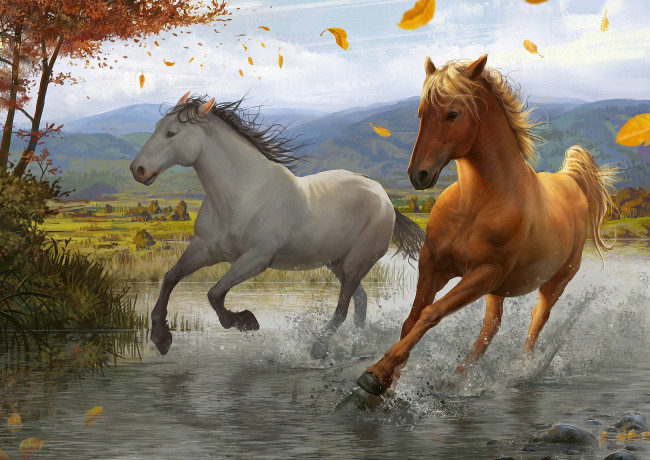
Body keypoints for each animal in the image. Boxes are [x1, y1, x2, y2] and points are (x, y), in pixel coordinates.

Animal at [130, 92, 425, 357]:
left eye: (172, 133)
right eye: (156, 128)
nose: (138, 170)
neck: (242, 193)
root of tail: (383, 196)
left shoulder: (257, 258)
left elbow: (214, 293)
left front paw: (245, 320)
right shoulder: (205, 249)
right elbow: (170, 278)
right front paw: (161, 338)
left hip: (357, 262)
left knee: (343, 308)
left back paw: (320, 348)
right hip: (337, 262)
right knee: (360, 302)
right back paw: (355, 349)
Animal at [356, 54, 618, 395]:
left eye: (452, 114)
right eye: (421, 113)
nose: (419, 175)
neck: (474, 206)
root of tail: (570, 180)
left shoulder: (483, 273)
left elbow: (431, 314)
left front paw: (377, 375)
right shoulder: (434, 266)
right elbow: (411, 320)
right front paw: (387, 380)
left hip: (553, 282)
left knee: (536, 321)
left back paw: (520, 372)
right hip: (497, 290)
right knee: (490, 328)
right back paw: (458, 377)